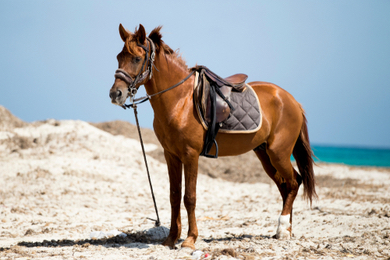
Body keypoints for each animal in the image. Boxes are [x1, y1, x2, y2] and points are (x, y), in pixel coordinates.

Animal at [109, 24, 316, 250]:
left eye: (137, 58)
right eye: (119, 57)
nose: (115, 94)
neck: (180, 101)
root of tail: (291, 100)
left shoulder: (190, 155)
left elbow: (189, 197)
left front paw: (190, 239)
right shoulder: (171, 156)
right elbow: (174, 196)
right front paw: (171, 238)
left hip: (278, 153)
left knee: (294, 183)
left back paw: (283, 228)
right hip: (264, 155)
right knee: (286, 186)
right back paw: (286, 230)